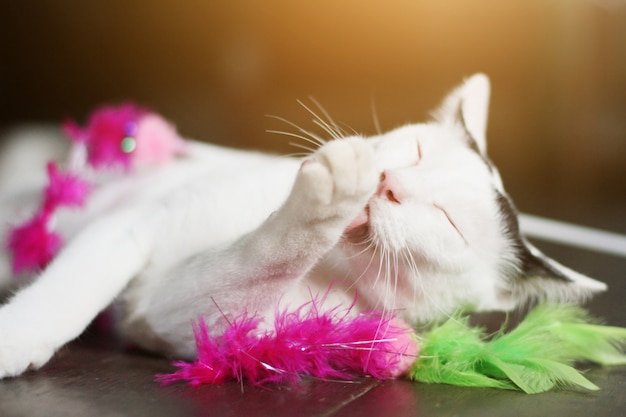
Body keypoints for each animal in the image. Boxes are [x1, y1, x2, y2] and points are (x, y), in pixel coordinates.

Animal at [0, 74, 604, 376]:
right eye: (414, 152)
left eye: (447, 221)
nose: (388, 183)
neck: (332, 259)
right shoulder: (136, 226)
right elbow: (68, 294)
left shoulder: (177, 314)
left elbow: (263, 256)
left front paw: (330, 198)